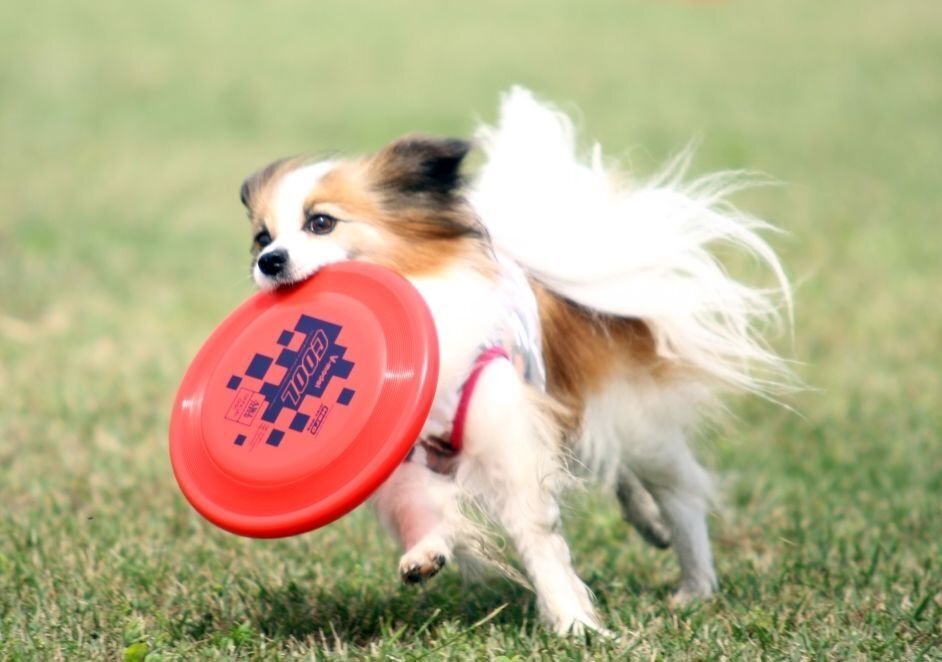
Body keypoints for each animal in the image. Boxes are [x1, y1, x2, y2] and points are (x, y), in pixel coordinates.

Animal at [238, 88, 796, 632]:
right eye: (263, 237)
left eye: (321, 223)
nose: (269, 262)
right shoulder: (397, 451)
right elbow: (416, 504)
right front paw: (426, 551)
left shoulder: (506, 435)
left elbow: (536, 534)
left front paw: (572, 622)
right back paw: (649, 525)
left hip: (636, 424)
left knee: (680, 493)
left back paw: (694, 584)